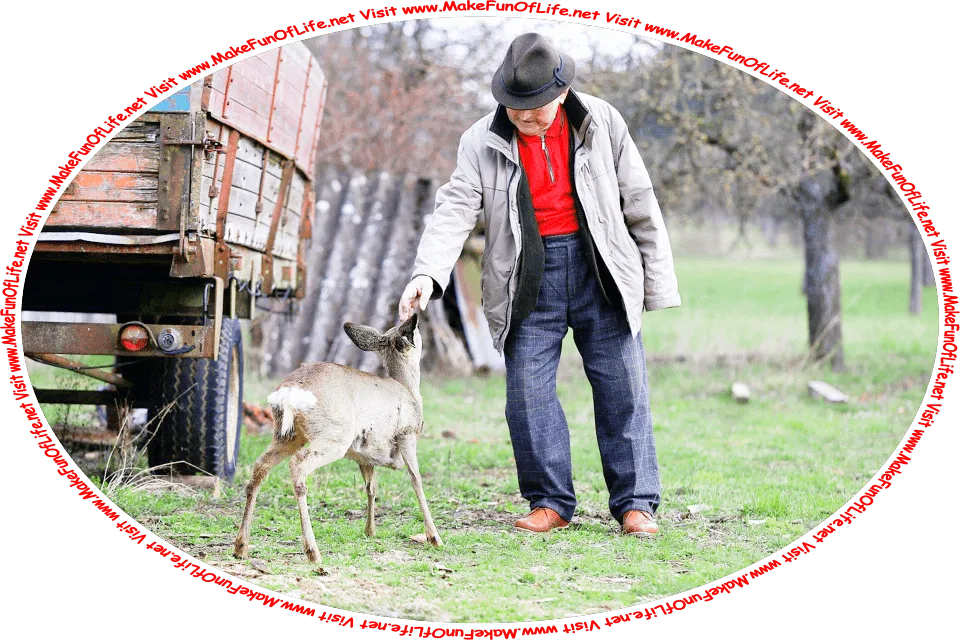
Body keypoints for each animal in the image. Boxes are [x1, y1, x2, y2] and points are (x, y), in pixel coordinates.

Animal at [233, 314, 442, 564]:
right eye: (417, 331)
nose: (418, 323)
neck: (408, 389)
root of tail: (291, 392)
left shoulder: (364, 455)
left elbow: (371, 487)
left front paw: (370, 531)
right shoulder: (407, 433)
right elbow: (416, 479)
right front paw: (434, 537)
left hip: (286, 435)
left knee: (260, 467)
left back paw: (241, 546)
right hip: (334, 436)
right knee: (298, 465)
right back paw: (313, 552)